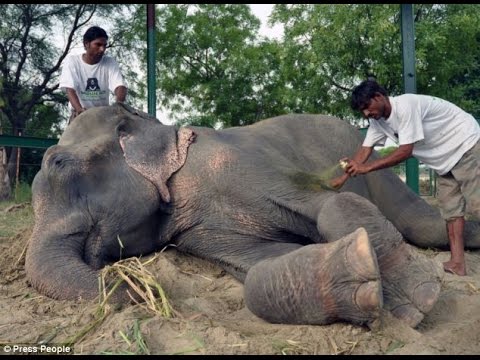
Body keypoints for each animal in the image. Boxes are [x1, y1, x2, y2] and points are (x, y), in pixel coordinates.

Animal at [25, 102, 480, 330]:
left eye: (59, 163)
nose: (136, 291)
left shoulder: (241, 164)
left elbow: (325, 203)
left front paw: (418, 303)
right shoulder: (197, 229)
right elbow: (261, 264)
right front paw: (360, 278)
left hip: (378, 169)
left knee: (425, 225)